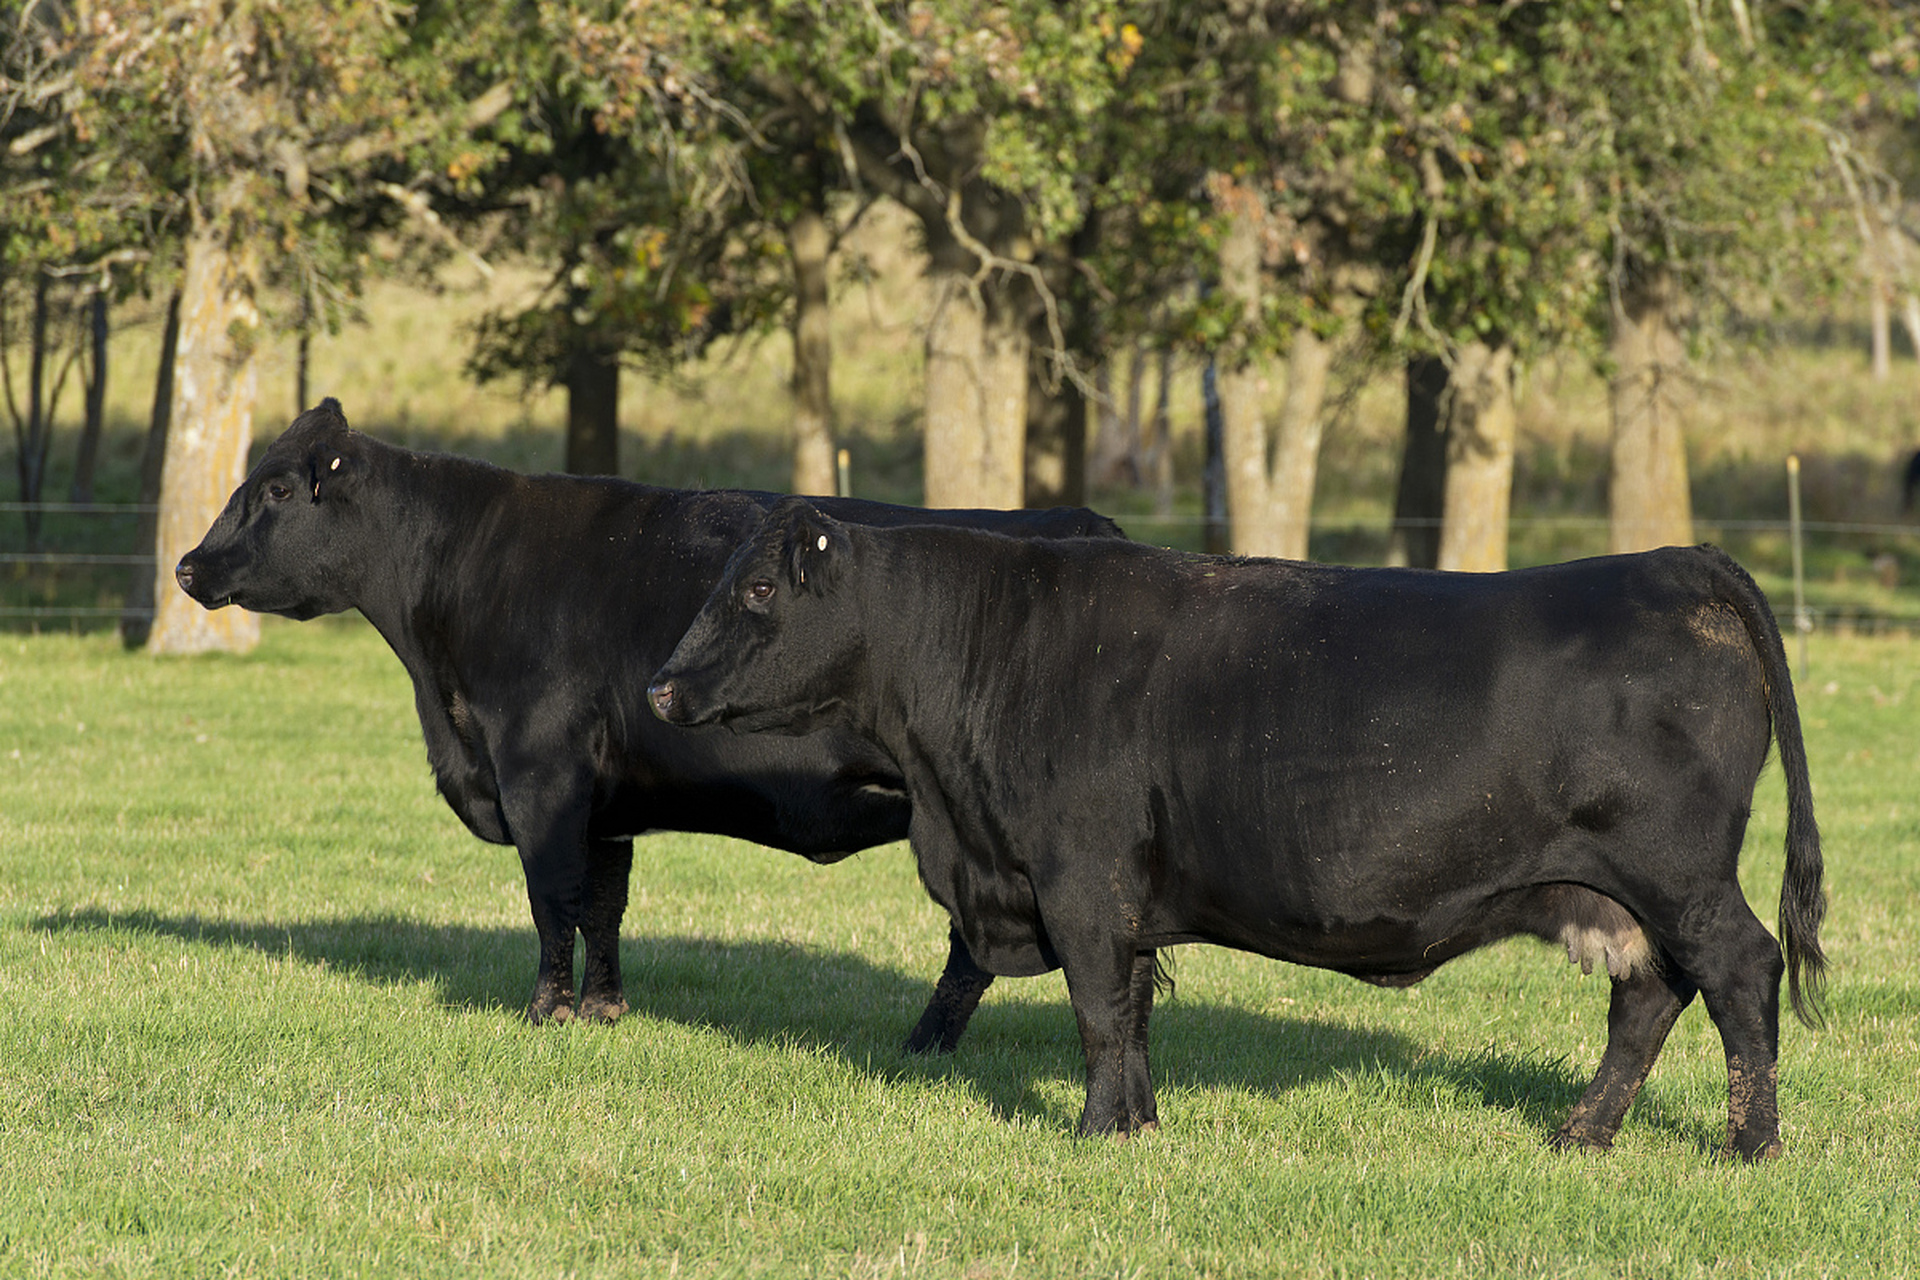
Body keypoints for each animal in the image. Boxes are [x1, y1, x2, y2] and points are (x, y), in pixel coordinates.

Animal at [172, 401, 1121, 1043]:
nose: (186, 565)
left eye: (279, 487)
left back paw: (923, 1044)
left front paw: (545, 1013)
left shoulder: (540, 771)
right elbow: (603, 905)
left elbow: (551, 898)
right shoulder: (606, 801)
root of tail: (1093, 524)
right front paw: (602, 1008)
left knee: (978, 946)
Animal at [648, 498, 1827, 1159]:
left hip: (1680, 875)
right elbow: (1131, 1014)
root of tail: (1670, 561)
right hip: (1625, 894)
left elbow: (1098, 1013)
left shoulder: (1079, 884)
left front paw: (1092, 1134)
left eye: (758, 589)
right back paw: (1583, 1134)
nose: (659, 687)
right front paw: (1137, 1128)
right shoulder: (1119, 899)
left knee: (1740, 971)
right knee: (1651, 997)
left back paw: (1752, 1144)